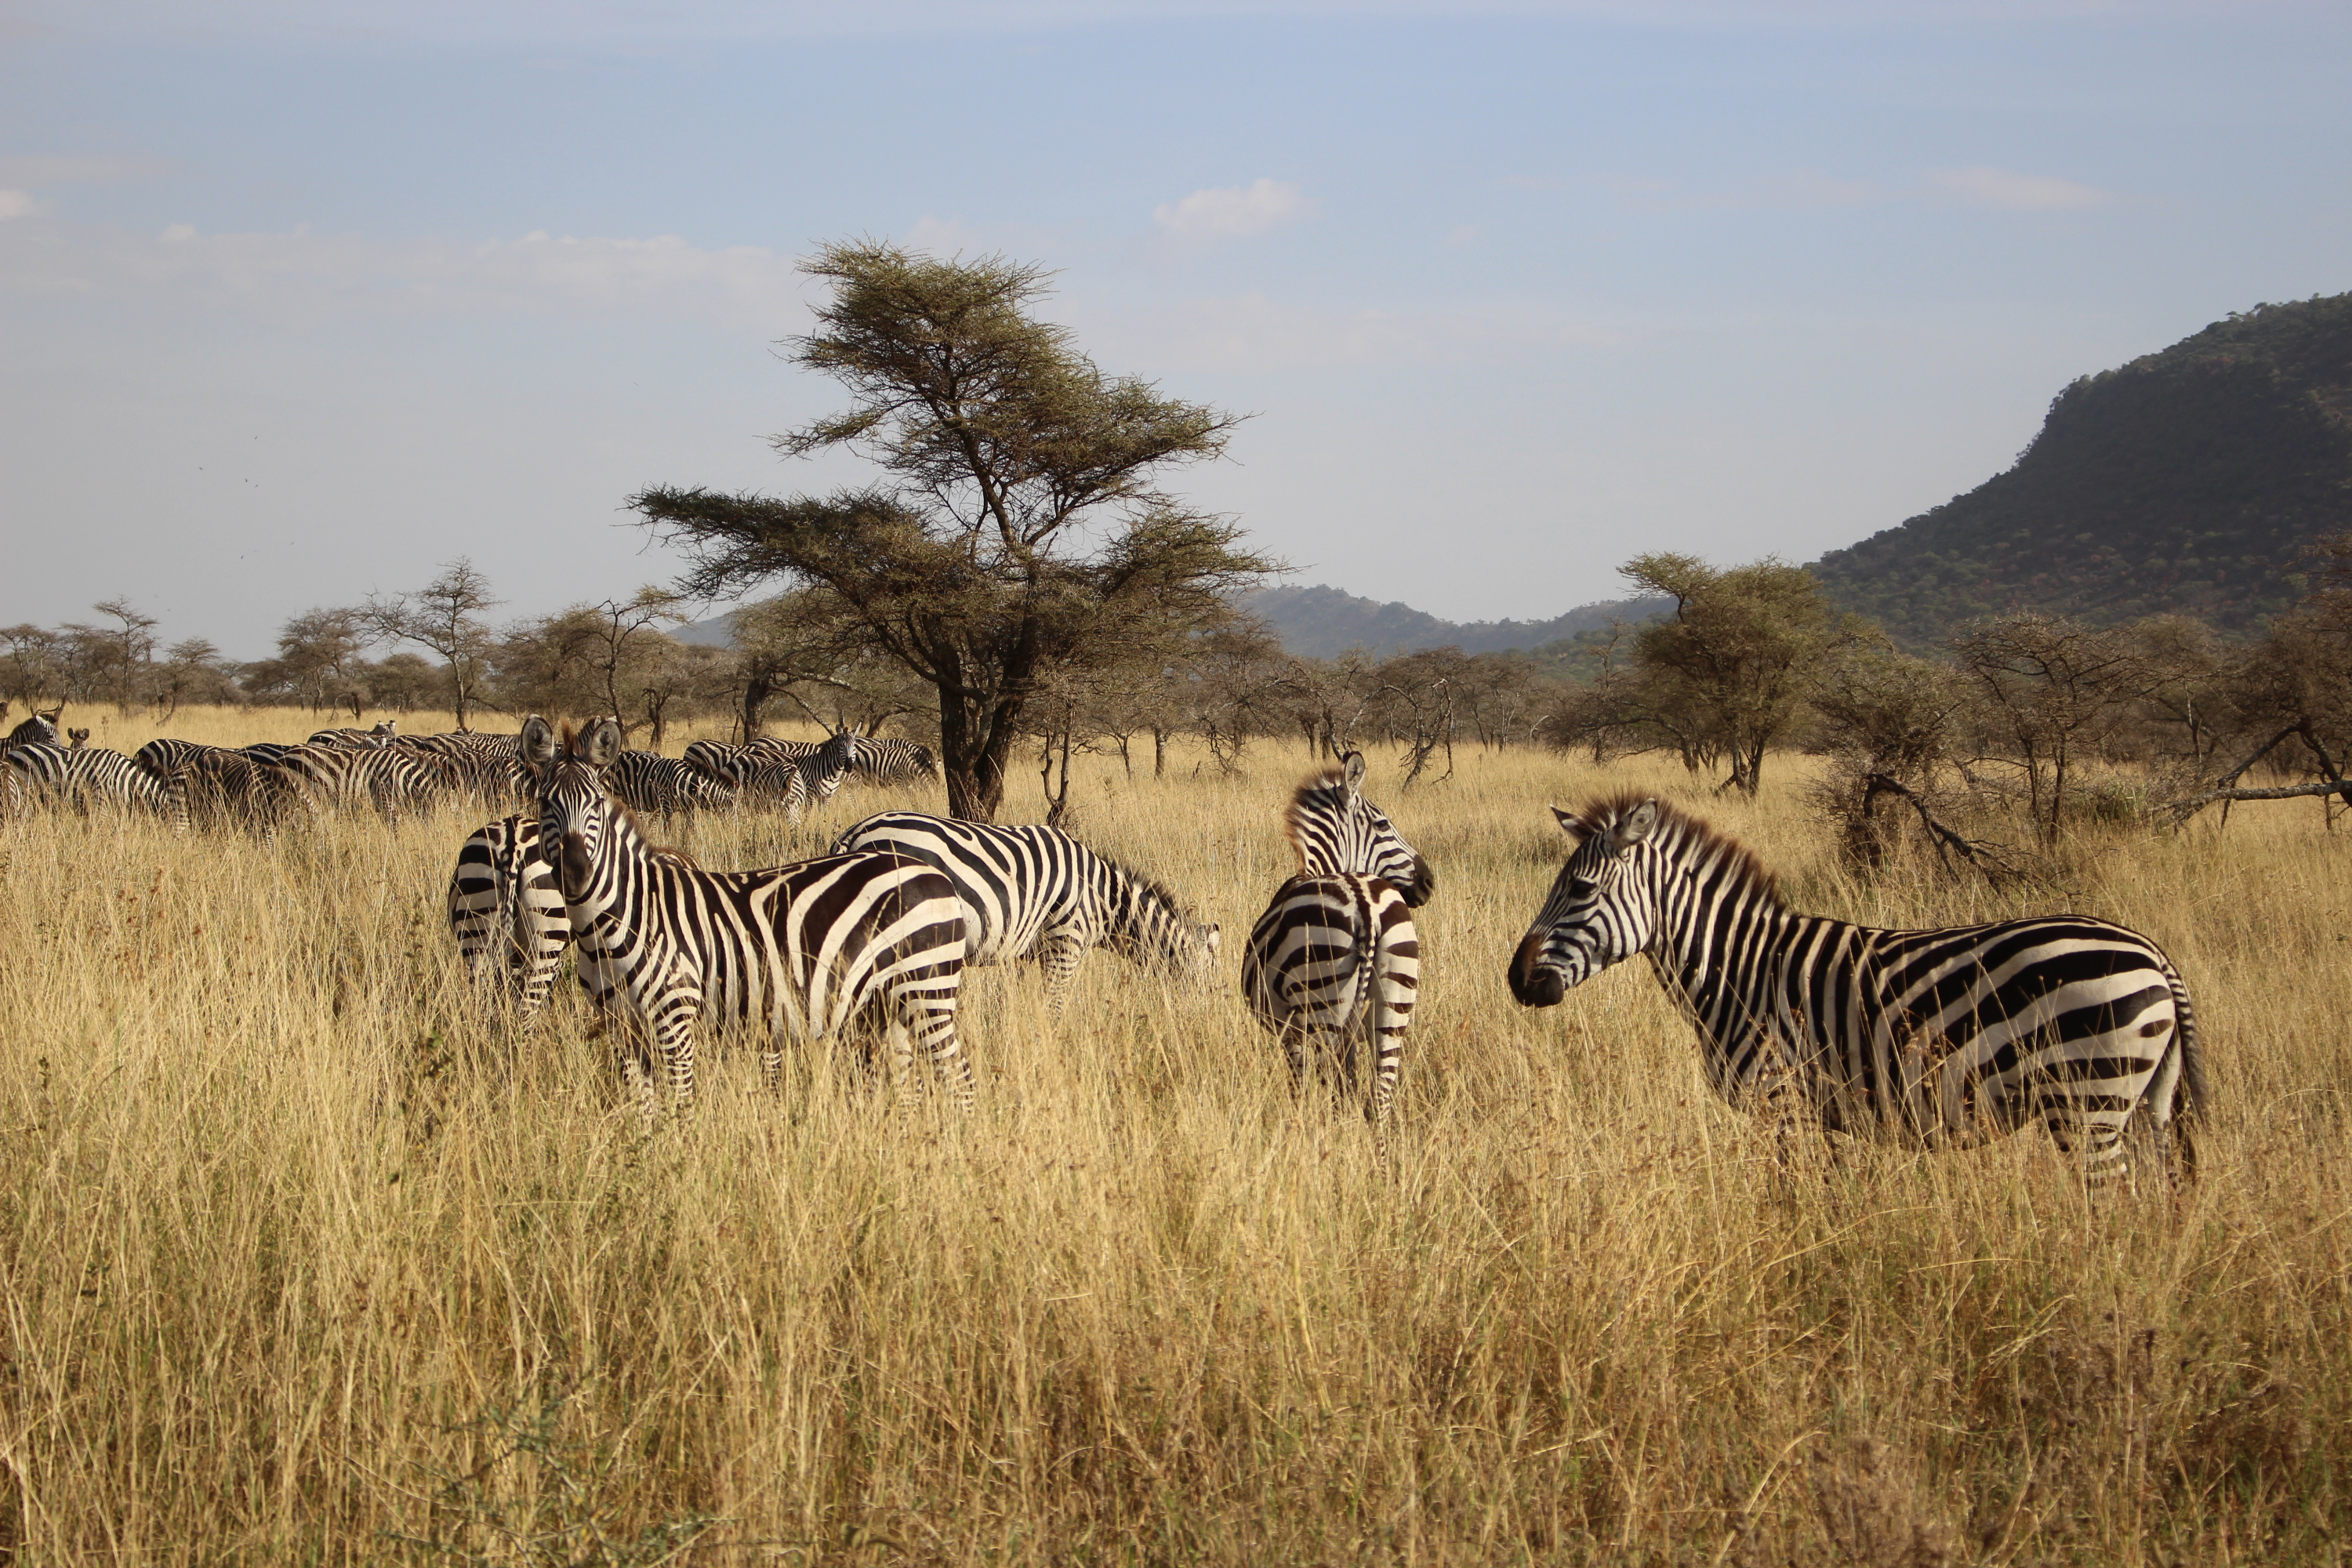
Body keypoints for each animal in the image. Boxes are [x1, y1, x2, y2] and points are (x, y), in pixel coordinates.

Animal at [524, 715, 971, 1120]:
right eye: (544, 803)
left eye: (597, 803)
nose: (575, 872)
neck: (617, 923)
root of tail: (932, 872)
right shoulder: (621, 1027)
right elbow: (644, 1113)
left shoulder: (674, 1019)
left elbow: (681, 1107)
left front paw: (681, 1154)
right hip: (885, 1003)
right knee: (909, 1080)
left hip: (926, 986)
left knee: (957, 1074)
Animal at [832, 810, 1219, 1015]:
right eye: (1212, 971)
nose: (1216, 1011)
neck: (1105, 901)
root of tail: (855, 833)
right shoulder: (1065, 945)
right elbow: (1055, 1007)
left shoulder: (1023, 951)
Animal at [1241, 752, 1436, 1161]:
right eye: (1383, 824)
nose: (1429, 882)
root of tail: (1365, 903)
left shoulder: (1291, 1031)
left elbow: (1299, 1092)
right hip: (1393, 1004)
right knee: (1378, 1100)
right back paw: (1377, 1163)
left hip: (1323, 1005)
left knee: (1333, 1090)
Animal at [1505, 793, 2207, 1188]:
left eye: (1582, 890)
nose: (1516, 979)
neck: (1739, 970)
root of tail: (2155, 956)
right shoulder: (1817, 1116)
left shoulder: (1781, 1104)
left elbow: (1790, 1203)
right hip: (2144, 1109)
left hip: (2090, 1103)